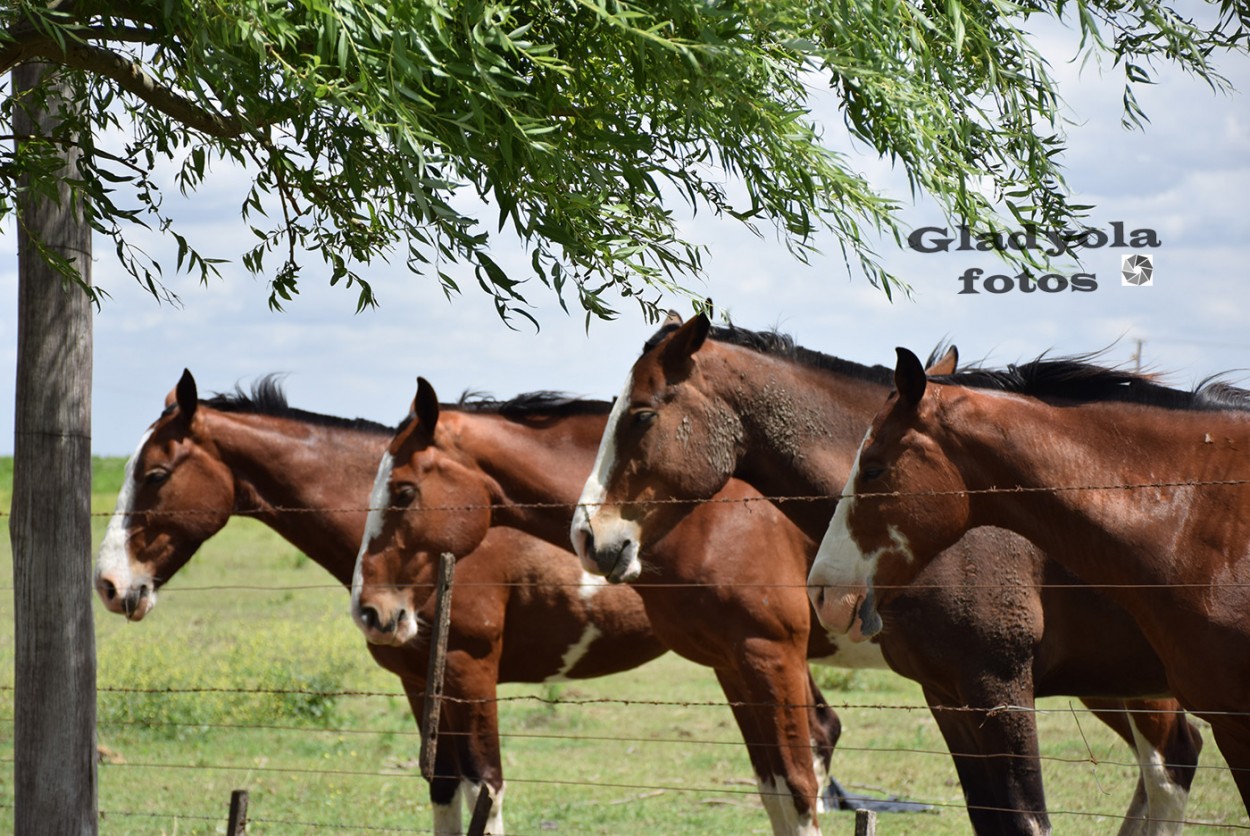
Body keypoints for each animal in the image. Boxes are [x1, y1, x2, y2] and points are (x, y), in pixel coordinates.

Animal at [95, 372, 675, 834]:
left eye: (155, 475)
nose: (108, 583)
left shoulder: (471, 673)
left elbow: (486, 789)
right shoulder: (419, 681)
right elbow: (444, 787)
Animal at [352, 382, 860, 829]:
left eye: (403, 492)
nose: (366, 607)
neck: (709, 518)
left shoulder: (772, 654)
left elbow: (797, 789)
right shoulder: (733, 666)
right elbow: (774, 792)